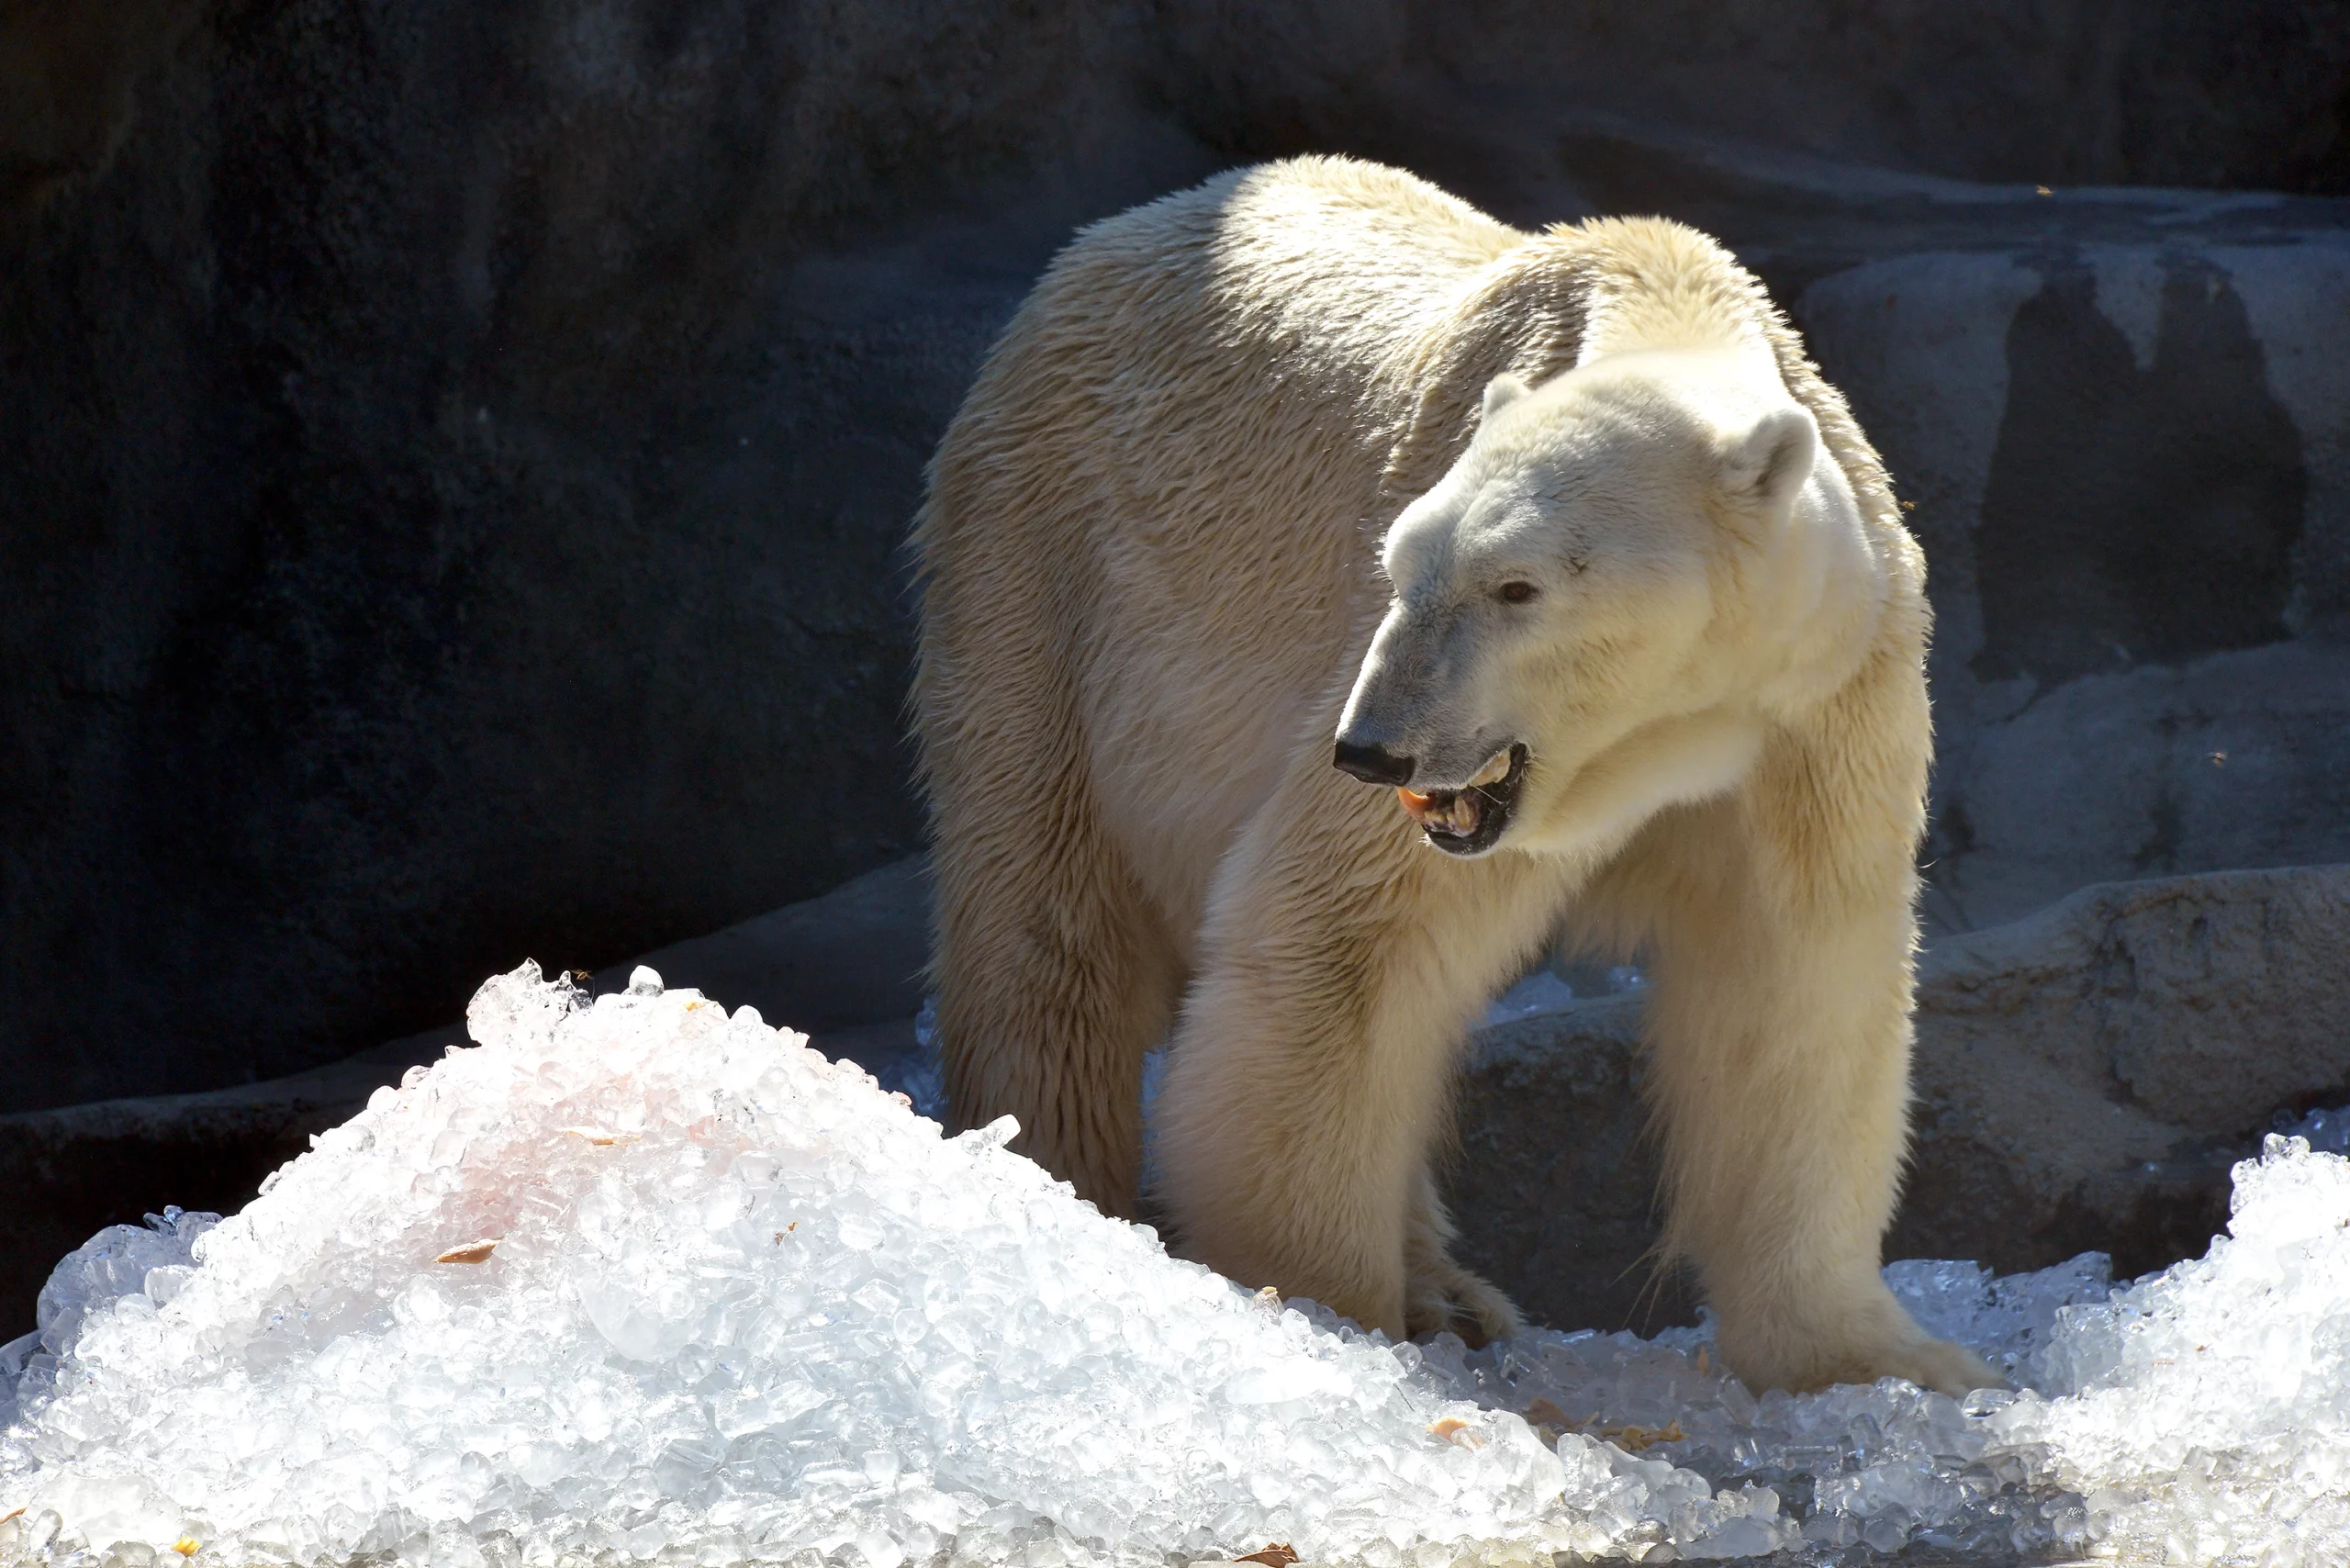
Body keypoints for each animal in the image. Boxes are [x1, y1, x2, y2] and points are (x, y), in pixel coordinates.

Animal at [907, 152, 1992, 1391]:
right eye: (1398, 567)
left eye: (1517, 584)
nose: (1371, 747)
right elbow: (1339, 945)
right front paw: (1322, 1316)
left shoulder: (1814, 707)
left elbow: (1794, 989)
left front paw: (1886, 1360)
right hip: (1041, 575)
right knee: (1047, 923)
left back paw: (1449, 1289)